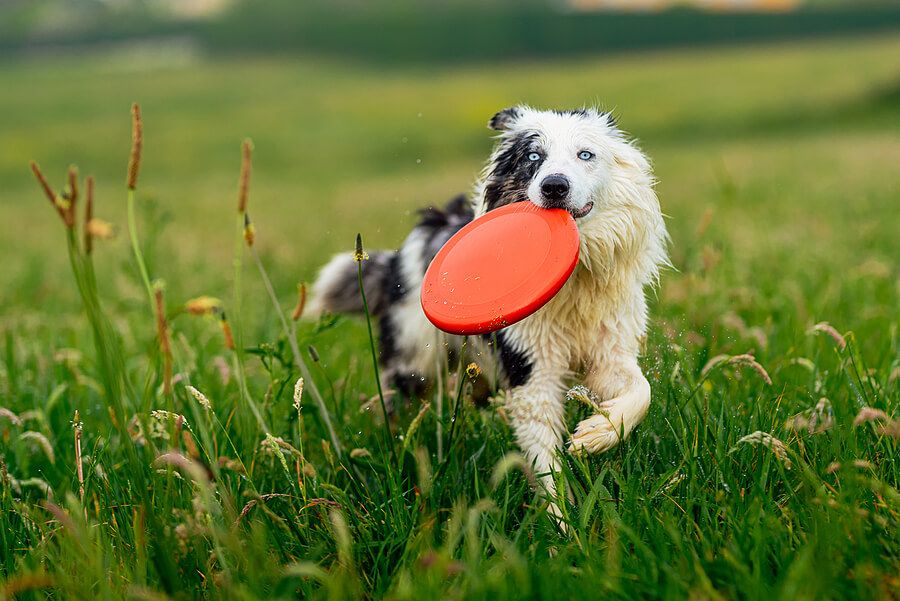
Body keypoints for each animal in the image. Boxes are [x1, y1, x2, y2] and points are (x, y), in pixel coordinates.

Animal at [310, 105, 668, 504]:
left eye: (585, 155)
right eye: (533, 157)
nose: (554, 186)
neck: (577, 277)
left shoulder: (610, 351)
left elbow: (641, 392)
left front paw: (597, 434)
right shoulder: (530, 368)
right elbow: (546, 460)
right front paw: (560, 514)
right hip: (413, 363)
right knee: (396, 408)